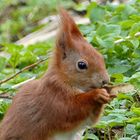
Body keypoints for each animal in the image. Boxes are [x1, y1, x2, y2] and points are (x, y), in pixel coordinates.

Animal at [0, 9, 116, 139]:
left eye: (100, 56)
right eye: (81, 65)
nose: (105, 80)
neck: (64, 79)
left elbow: (90, 120)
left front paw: (106, 95)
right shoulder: (54, 98)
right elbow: (70, 110)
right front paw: (97, 95)